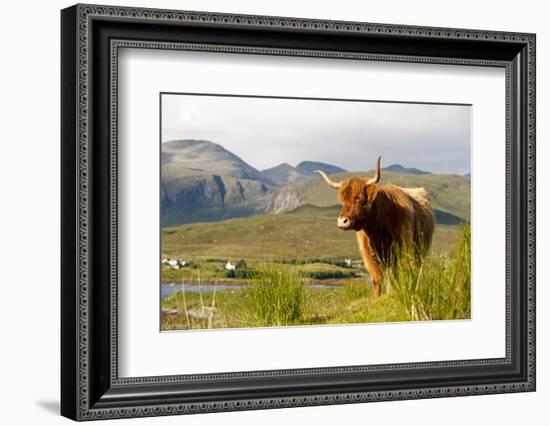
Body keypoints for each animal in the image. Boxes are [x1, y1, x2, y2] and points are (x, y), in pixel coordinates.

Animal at [316, 157, 438, 296]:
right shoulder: (369, 254)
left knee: (416, 270)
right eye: (342, 200)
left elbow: (395, 275)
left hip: (420, 249)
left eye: (359, 198)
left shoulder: (399, 250)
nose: (342, 221)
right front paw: (377, 296)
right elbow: (377, 278)